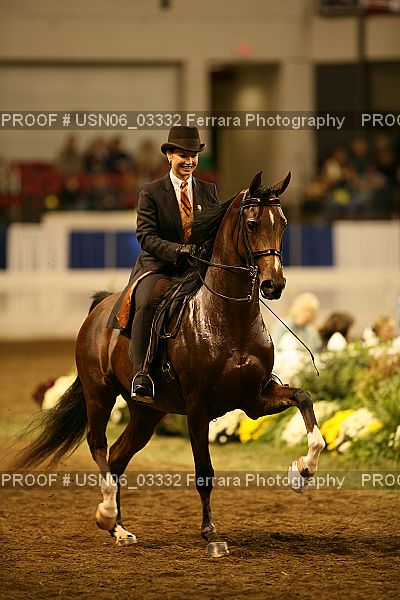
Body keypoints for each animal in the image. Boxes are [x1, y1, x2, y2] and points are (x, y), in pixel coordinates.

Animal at [14, 171, 325, 557]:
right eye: (252, 224)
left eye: (282, 223)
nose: (273, 284)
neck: (227, 318)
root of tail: (101, 308)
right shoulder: (198, 406)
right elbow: (204, 472)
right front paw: (212, 535)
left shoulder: (255, 399)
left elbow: (304, 399)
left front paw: (303, 471)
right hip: (99, 394)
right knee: (98, 444)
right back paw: (106, 513)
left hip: (148, 411)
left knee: (117, 456)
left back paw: (119, 529)